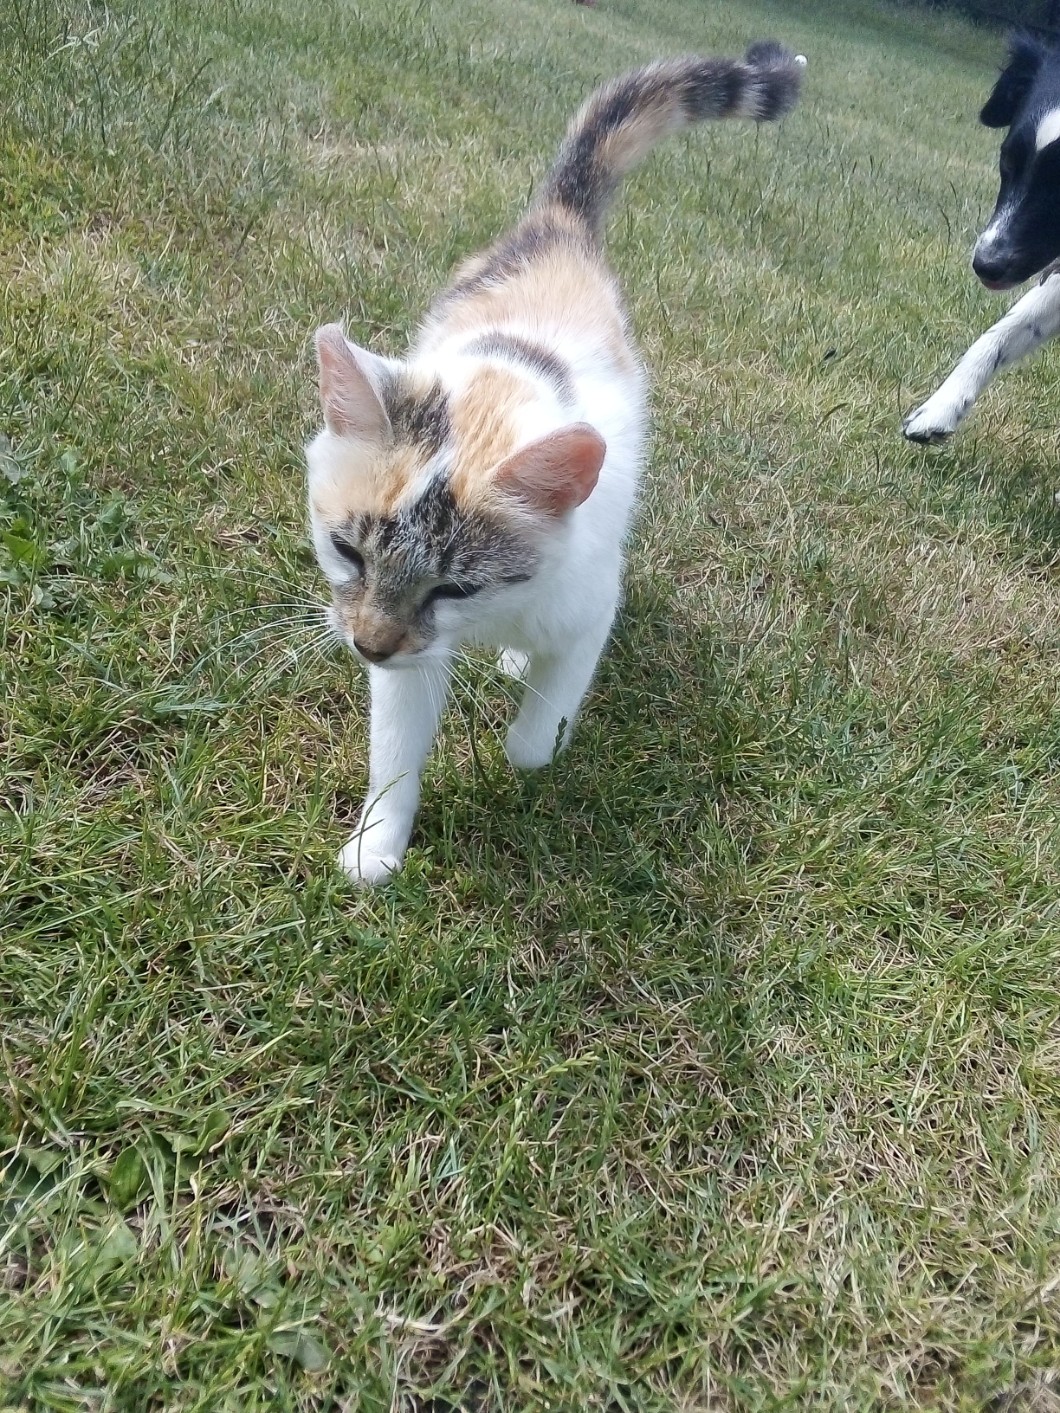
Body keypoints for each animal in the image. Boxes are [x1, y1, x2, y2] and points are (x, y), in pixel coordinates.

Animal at [305, 42, 804, 884]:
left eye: (457, 585)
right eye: (347, 549)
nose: (369, 643)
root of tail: (559, 224)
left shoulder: (588, 604)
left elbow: (538, 735)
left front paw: (529, 743)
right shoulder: (410, 662)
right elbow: (398, 745)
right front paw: (377, 844)